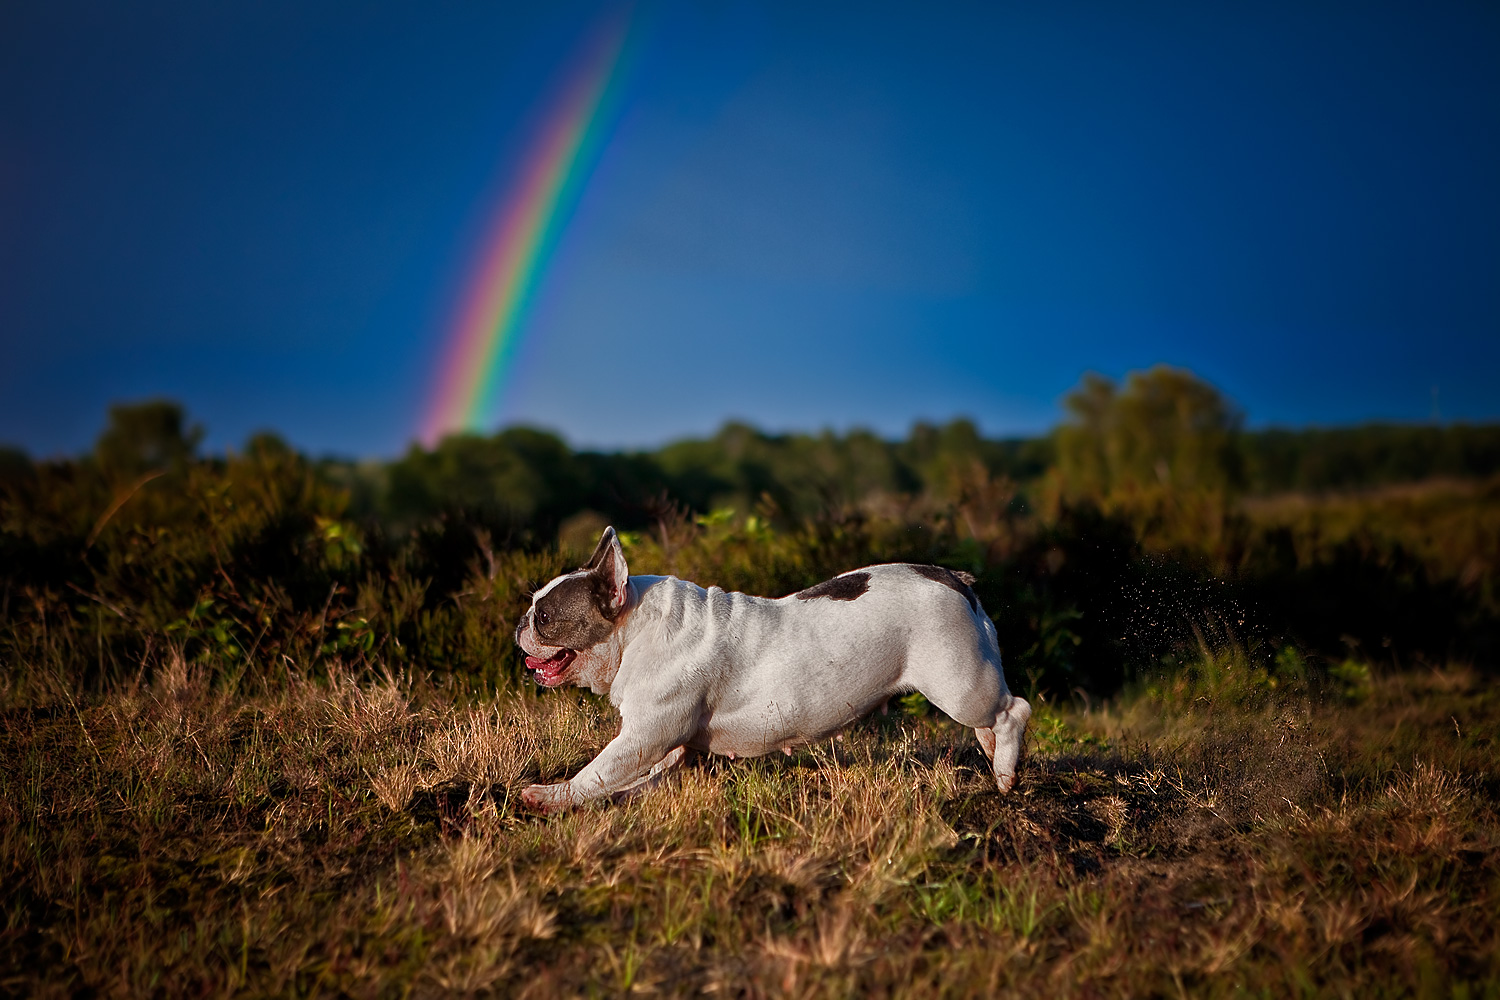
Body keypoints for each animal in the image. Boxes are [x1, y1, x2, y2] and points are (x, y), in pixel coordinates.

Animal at [516, 524, 1032, 815]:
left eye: (545, 617)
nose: (520, 624)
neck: (633, 627)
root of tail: (955, 580)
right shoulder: (667, 746)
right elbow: (638, 779)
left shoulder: (645, 735)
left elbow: (598, 772)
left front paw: (550, 797)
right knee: (993, 721)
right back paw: (994, 761)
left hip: (957, 683)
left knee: (1013, 712)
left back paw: (1005, 779)